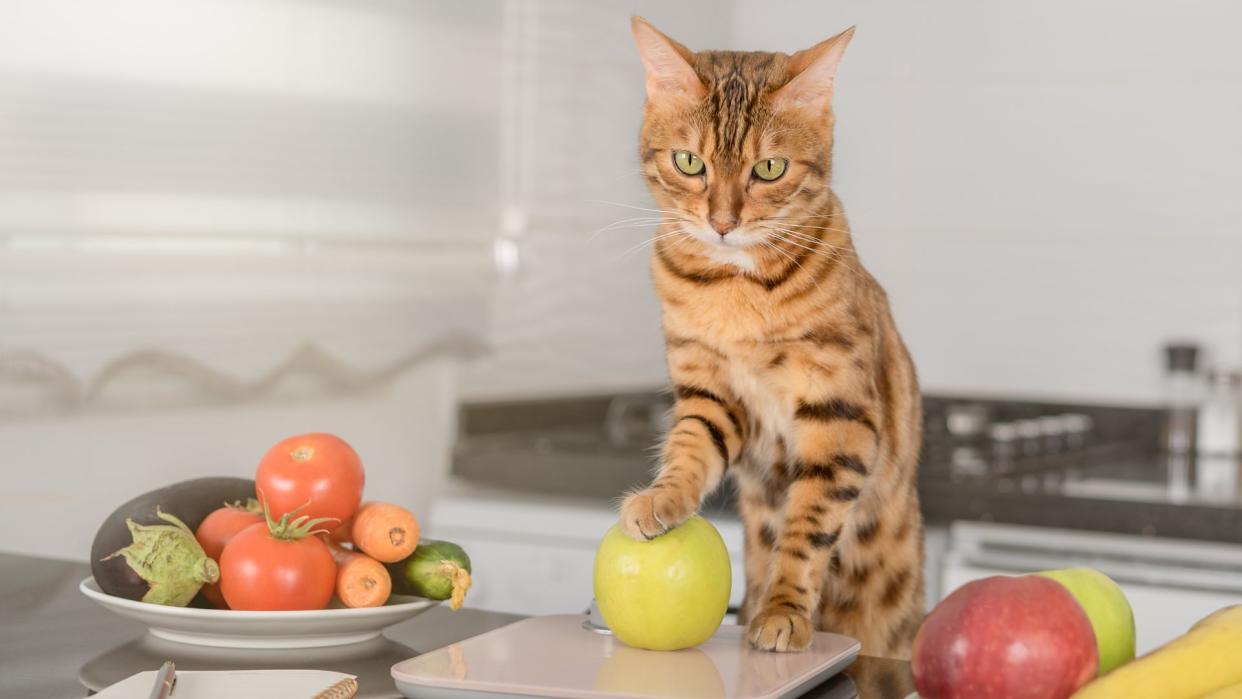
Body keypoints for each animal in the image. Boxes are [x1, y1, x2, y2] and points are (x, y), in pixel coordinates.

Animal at [621, 19, 924, 660]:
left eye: (768, 170)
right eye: (689, 161)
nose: (723, 223)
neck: (736, 291)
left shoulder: (840, 414)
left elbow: (806, 529)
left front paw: (782, 610)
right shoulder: (712, 393)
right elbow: (689, 449)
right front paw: (661, 498)